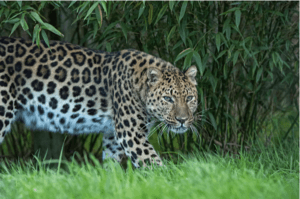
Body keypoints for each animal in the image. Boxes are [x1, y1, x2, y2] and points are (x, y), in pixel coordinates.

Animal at [0, 37, 198, 168]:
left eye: (189, 98)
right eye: (168, 99)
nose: (182, 120)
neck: (140, 85)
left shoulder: (112, 136)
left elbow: (111, 166)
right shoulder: (131, 134)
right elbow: (154, 164)